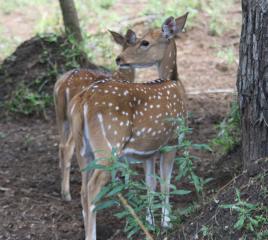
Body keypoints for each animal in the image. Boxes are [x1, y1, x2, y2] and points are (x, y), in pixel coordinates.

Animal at [54, 29, 138, 202]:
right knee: (68, 147)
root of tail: (62, 85)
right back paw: (66, 194)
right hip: (74, 120)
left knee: (61, 145)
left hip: (60, 115)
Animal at [68, 13, 188, 240]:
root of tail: (83, 100)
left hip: (83, 149)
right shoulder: (172, 140)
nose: (119, 59)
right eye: (139, 39)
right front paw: (166, 223)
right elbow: (166, 182)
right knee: (92, 189)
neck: (175, 82)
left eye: (145, 42)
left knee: (82, 190)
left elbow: (150, 184)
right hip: (108, 146)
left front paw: (150, 223)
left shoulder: (148, 151)